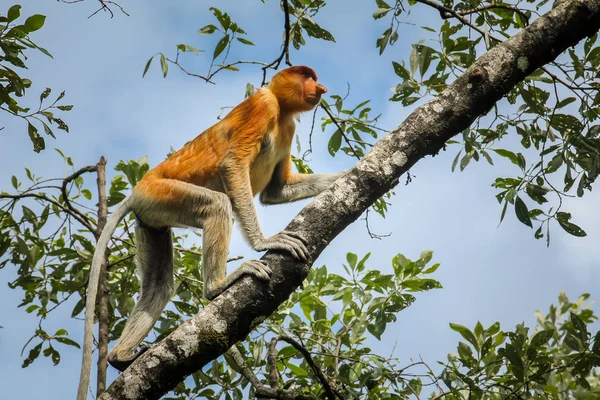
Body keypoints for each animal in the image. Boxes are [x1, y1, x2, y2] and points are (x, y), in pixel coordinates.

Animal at [77, 67, 344, 398]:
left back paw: (120, 356)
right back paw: (217, 287)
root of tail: (137, 191)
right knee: (218, 205)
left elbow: (277, 191)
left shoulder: (289, 127)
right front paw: (265, 242)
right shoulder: (263, 106)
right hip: (162, 193)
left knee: (159, 284)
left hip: (150, 216)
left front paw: (350, 173)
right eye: (307, 76)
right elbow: (233, 164)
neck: (283, 111)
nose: (321, 88)